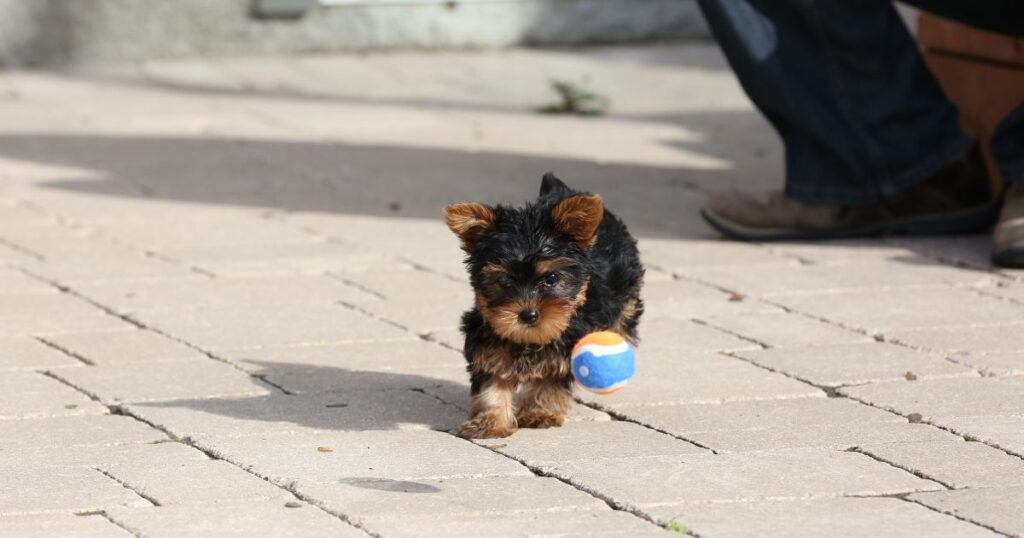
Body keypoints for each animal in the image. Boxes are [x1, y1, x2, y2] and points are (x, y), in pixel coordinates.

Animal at [444, 172, 643, 436]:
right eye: (505, 280)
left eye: (552, 278)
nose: (528, 315)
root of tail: (561, 190)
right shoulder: (487, 335)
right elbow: (491, 381)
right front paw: (489, 422)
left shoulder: (569, 340)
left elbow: (551, 378)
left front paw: (540, 413)